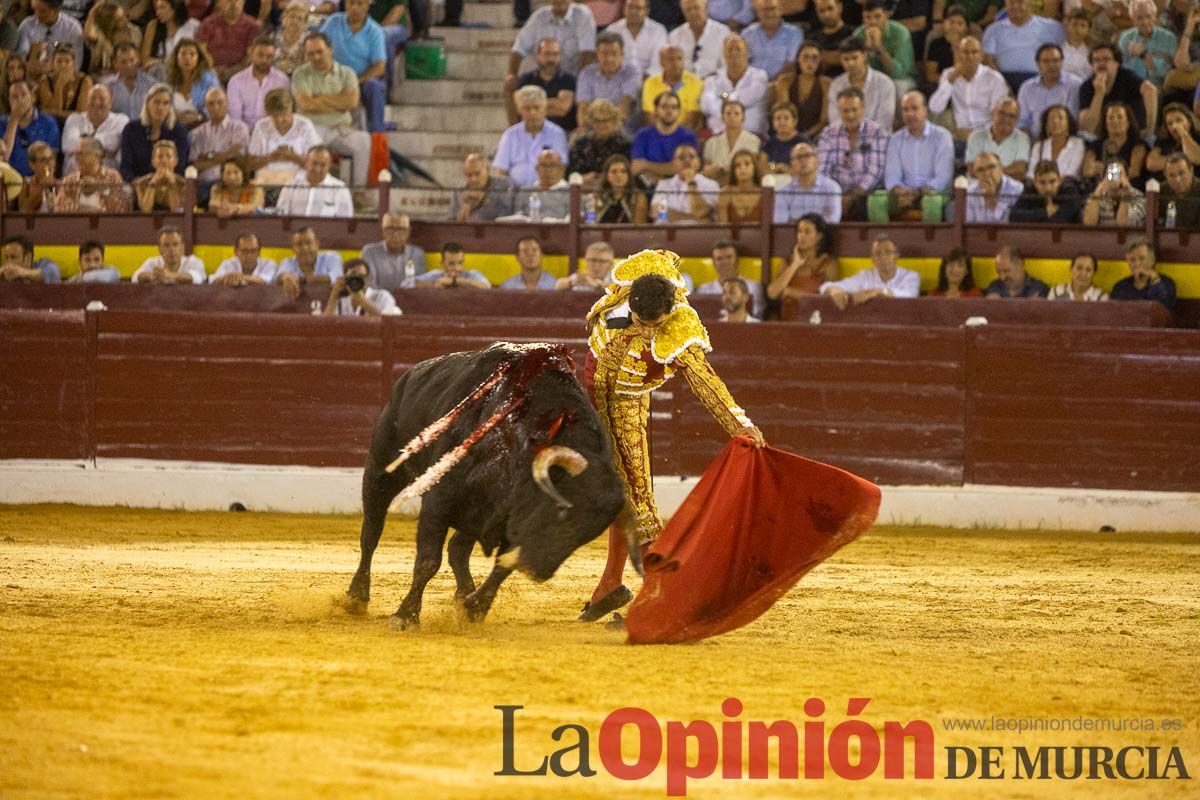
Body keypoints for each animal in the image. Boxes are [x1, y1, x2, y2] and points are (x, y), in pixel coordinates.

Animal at [345, 340, 624, 628]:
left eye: (588, 534)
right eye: (560, 510)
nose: (539, 571)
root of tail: (407, 376)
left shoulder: (509, 520)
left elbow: (502, 565)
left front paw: (474, 608)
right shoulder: (438, 503)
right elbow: (428, 561)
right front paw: (405, 616)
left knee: (457, 549)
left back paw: (464, 594)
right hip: (380, 472)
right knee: (371, 533)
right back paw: (357, 596)